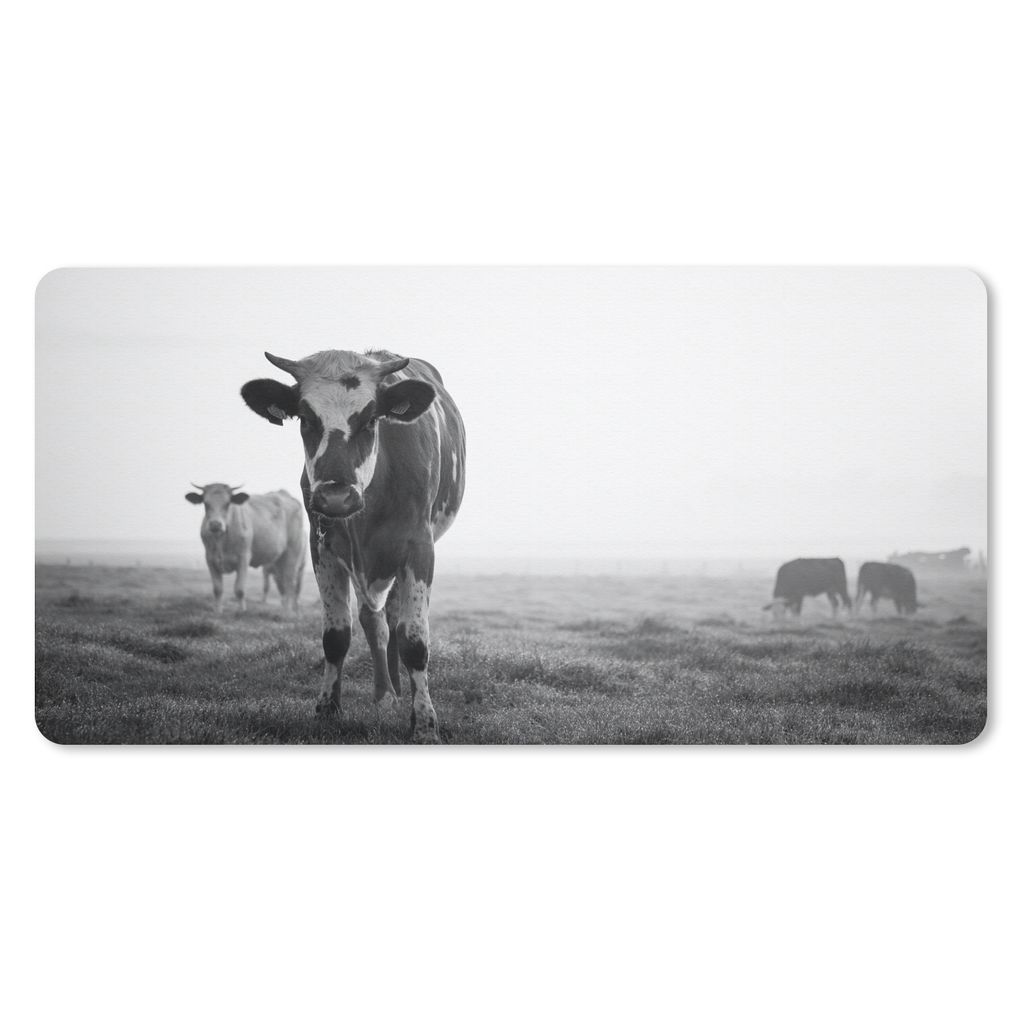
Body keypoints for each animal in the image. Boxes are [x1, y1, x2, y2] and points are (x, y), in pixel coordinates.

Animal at [185, 484, 306, 614]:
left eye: (227, 504)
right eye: (206, 503)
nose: (215, 524)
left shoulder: (243, 558)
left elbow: (239, 589)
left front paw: (241, 610)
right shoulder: (210, 559)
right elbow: (217, 589)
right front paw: (217, 611)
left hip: (293, 554)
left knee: (290, 583)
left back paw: (287, 611)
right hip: (279, 561)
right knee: (283, 584)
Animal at [240, 349, 466, 743]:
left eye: (371, 420)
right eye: (306, 419)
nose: (336, 497)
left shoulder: (419, 548)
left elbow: (414, 641)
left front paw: (424, 723)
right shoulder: (323, 549)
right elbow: (337, 636)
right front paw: (327, 710)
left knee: (393, 620)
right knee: (376, 622)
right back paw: (386, 693)